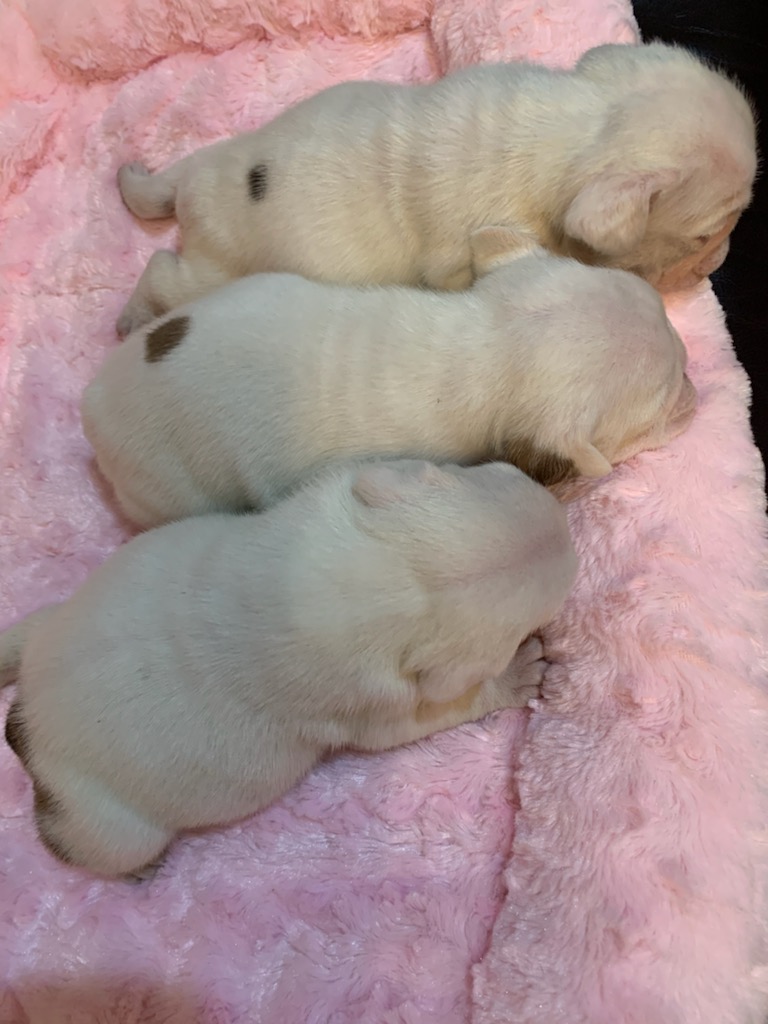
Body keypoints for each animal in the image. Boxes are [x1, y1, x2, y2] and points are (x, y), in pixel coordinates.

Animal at [1, 459, 578, 879]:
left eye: (496, 477)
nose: (563, 522)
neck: (382, 584)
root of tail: (26, 721)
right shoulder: (375, 708)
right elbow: (429, 714)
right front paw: (519, 673)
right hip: (108, 825)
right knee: (88, 844)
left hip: (49, 622)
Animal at [116, 41, 756, 335]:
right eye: (704, 235)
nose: (719, 262)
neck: (579, 124)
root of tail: (191, 188)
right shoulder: (461, 255)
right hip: (219, 267)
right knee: (165, 273)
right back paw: (131, 318)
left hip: (207, 171)